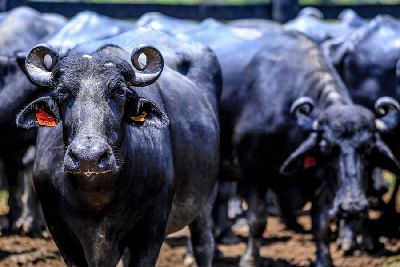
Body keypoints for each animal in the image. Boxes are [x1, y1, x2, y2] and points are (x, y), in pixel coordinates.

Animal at [17, 26, 220, 266]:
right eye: (62, 92)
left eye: (119, 91)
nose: (88, 157)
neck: (96, 195)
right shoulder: (60, 232)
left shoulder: (151, 232)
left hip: (205, 201)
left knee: (204, 244)